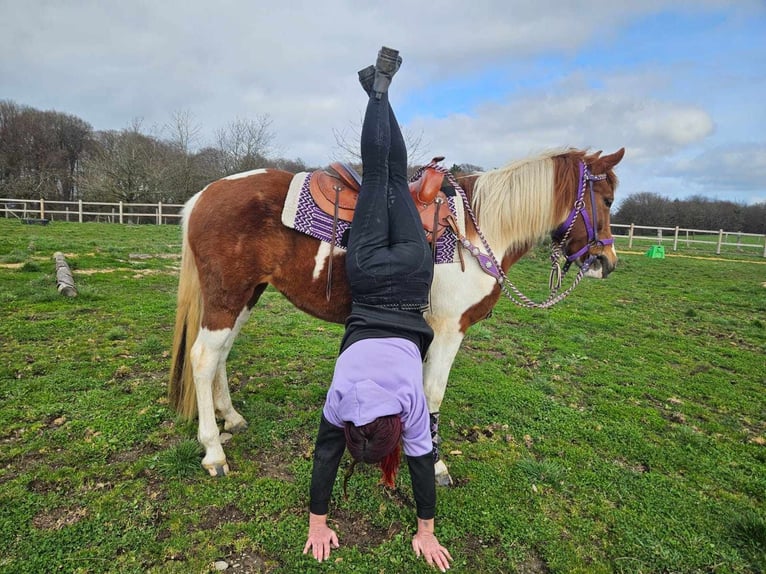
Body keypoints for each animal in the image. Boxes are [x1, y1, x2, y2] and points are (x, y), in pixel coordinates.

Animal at [168, 147, 625, 486]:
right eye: (606, 200)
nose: (607, 263)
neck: (479, 231)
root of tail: (203, 195)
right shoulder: (449, 330)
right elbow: (433, 393)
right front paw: (435, 465)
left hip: (245, 296)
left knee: (221, 355)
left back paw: (231, 417)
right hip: (227, 296)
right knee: (203, 359)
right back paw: (213, 451)